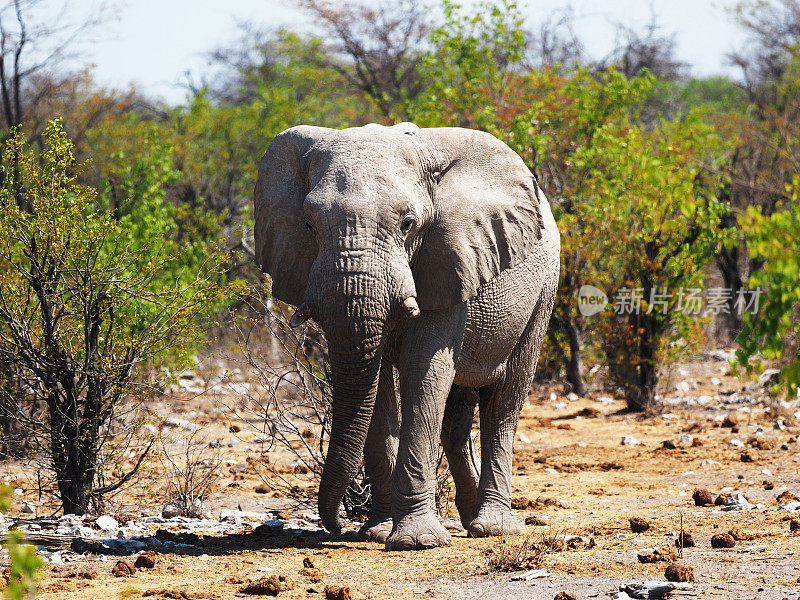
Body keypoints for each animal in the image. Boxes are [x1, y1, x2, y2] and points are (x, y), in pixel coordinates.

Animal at [253, 120, 560, 548]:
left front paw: (417, 541)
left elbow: (423, 369)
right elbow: (376, 381)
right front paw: (377, 533)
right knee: (457, 415)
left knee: (504, 402)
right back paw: (468, 520)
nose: (335, 526)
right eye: (309, 225)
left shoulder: (448, 255)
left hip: (543, 293)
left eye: (408, 225)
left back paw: (492, 528)